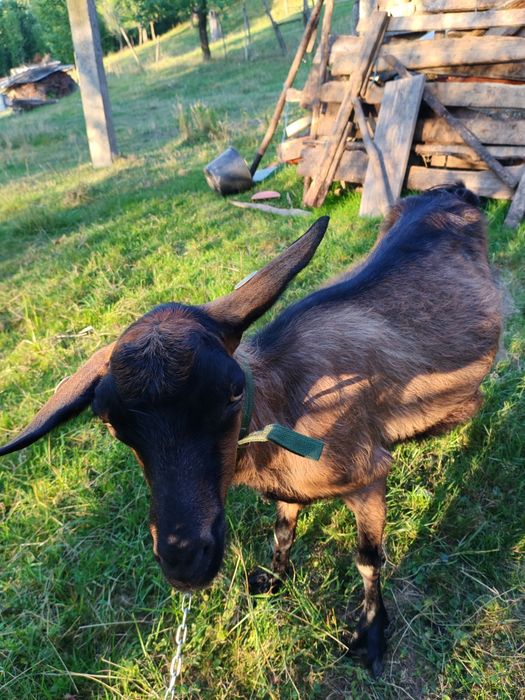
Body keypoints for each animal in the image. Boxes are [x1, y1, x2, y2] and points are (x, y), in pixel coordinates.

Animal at [0, 185, 502, 676]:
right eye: (108, 421)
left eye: (233, 390)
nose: (185, 561)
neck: (288, 407)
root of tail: (450, 189)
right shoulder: (291, 489)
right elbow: (283, 530)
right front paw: (274, 579)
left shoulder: (369, 476)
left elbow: (366, 560)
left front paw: (372, 636)